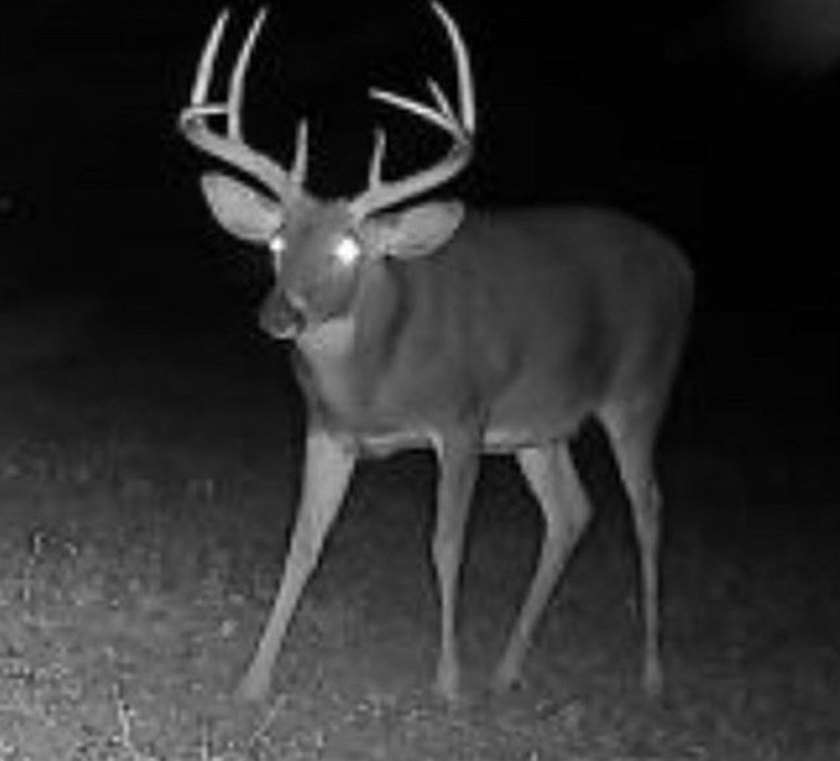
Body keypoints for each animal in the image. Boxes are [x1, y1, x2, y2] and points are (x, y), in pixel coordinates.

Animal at [178, 2, 694, 702]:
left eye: (348, 248)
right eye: (277, 244)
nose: (280, 315)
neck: (374, 380)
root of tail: (683, 266)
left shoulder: (463, 417)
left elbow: (446, 544)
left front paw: (448, 681)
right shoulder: (329, 428)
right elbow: (304, 541)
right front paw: (253, 679)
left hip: (640, 390)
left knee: (648, 511)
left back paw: (651, 675)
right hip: (540, 426)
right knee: (571, 512)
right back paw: (507, 669)